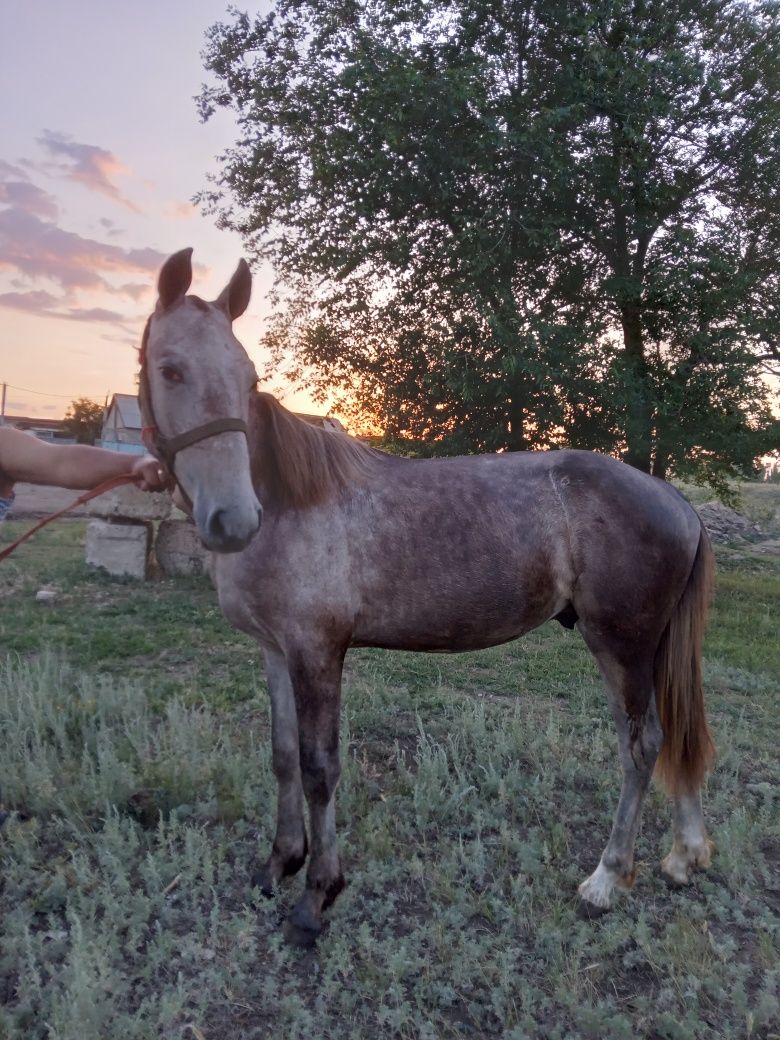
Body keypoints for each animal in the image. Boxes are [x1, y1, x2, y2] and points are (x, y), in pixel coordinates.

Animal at [139, 249, 715, 944]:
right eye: (170, 370)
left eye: (246, 378)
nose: (233, 519)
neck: (287, 501)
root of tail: (676, 499)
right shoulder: (276, 651)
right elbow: (281, 757)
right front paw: (278, 865)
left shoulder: (317, 653)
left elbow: (319, 768)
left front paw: (316, 896)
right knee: (676, 735)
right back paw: (683, 857)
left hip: (621, 648)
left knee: (642, 746)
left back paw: (606, 879)